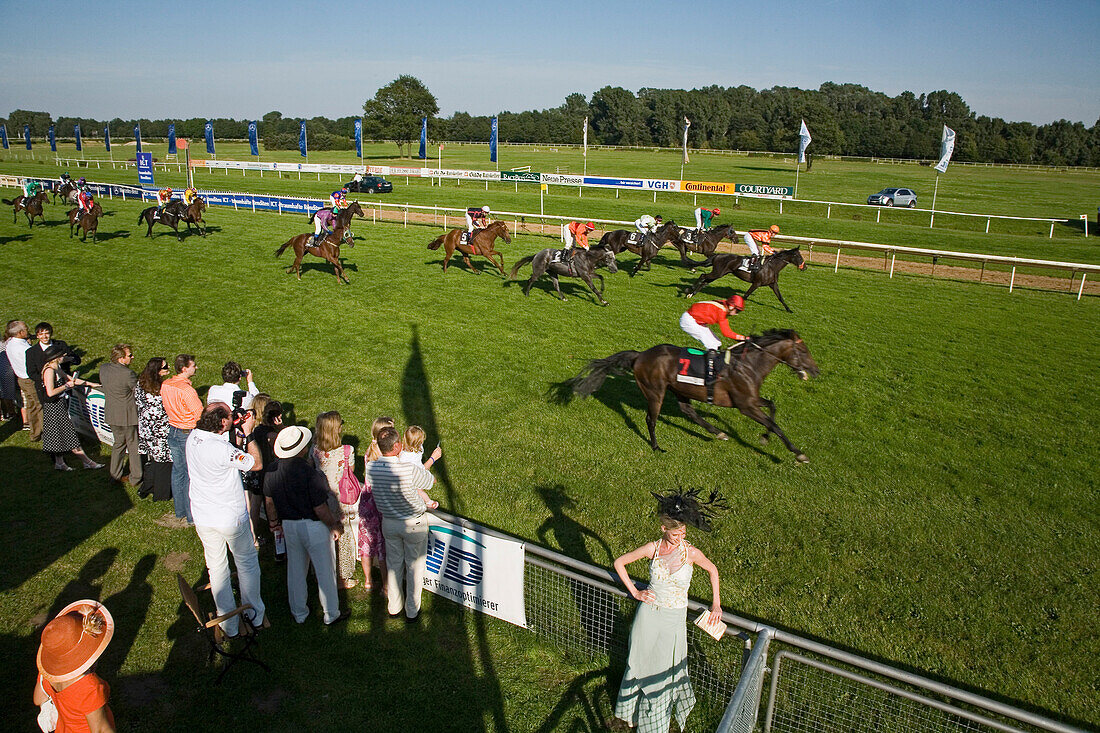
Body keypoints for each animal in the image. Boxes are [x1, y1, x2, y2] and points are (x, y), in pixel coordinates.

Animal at [567, 327, 818, 460]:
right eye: (804, 350)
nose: (816, 371)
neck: (748, 365)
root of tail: (640, 355)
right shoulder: (746, 405)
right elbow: (774, 424)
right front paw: (798, 453)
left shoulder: (752, 400)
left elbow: (773, 407)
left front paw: (765, 437)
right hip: (655, 391)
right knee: (651, 419)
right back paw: (656, 446)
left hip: (680, 389)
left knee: (688, 411)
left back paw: (717, 432)